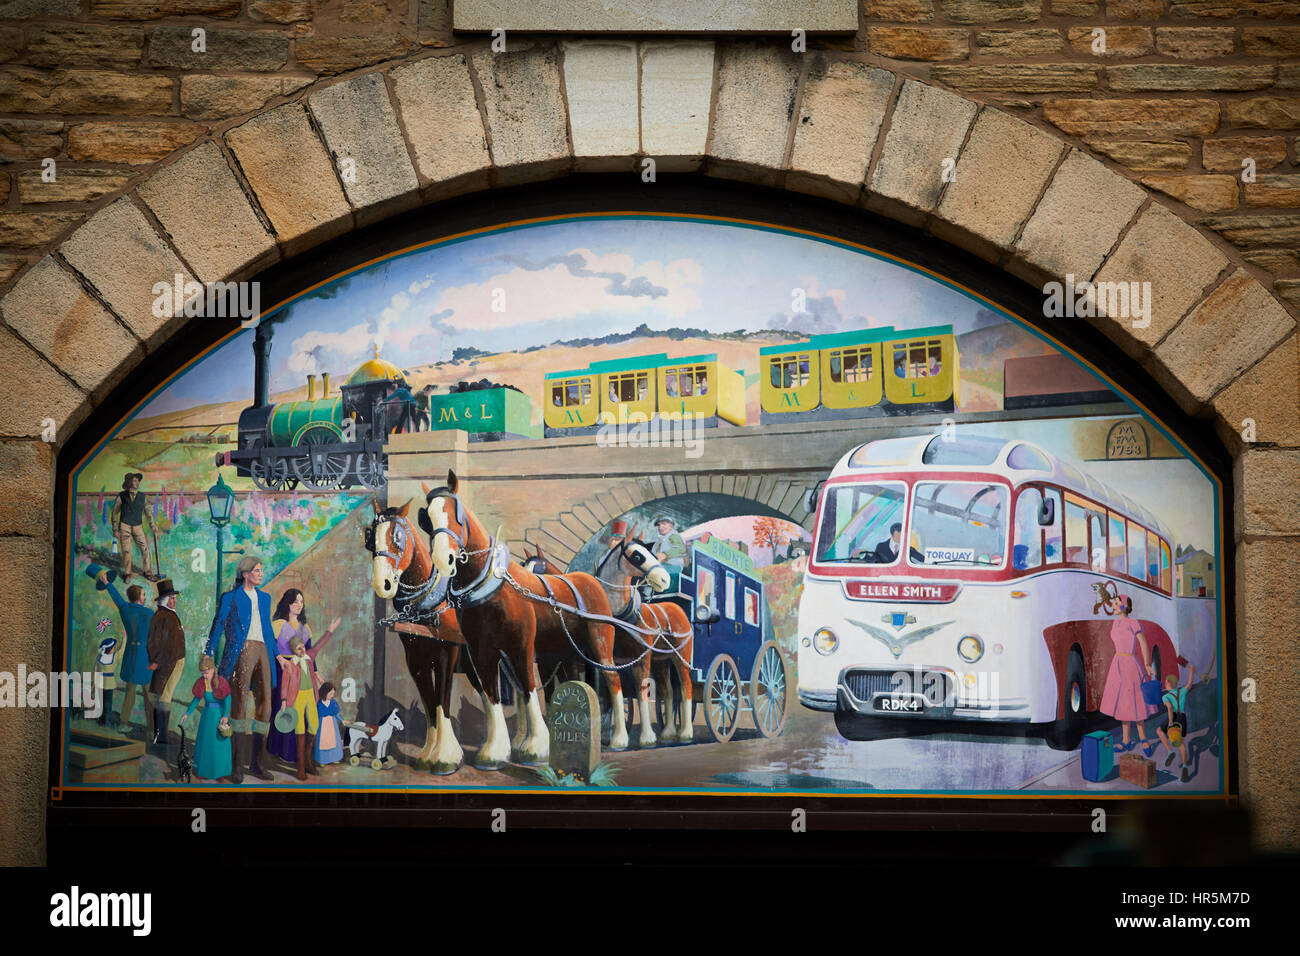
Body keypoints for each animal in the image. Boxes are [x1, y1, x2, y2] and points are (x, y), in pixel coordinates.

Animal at [413, 470, 621, 770]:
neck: (492, 590)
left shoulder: (521, 648)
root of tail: (588, 579)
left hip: (599, 643)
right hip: (566, 654)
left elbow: (529, 690)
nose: (444, 558)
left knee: (613, 680)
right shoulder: (482, 653)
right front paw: (494, 751)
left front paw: (537, 747)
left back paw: (619, 739)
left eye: (455, 513)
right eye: (427, 518)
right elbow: (492, 696)